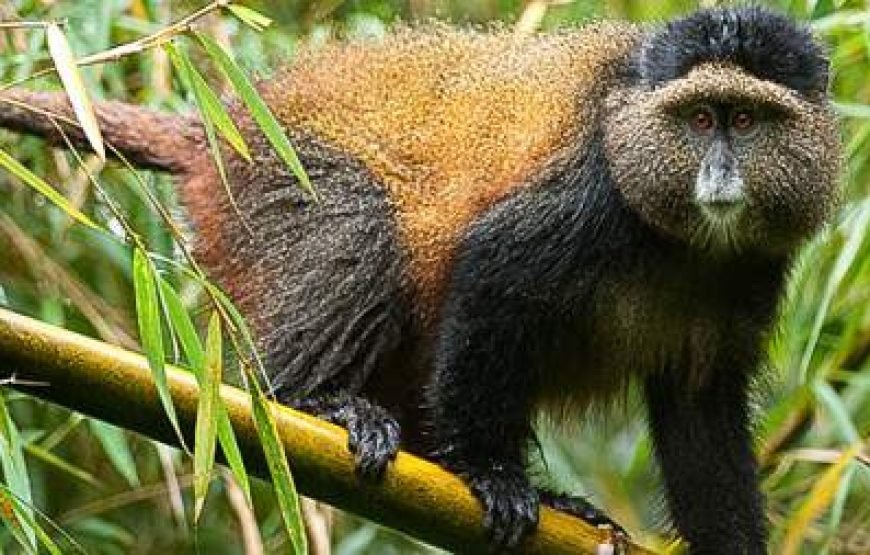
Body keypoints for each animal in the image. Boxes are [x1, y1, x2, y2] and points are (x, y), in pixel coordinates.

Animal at [0, 6, 841, 553]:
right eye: (700, 119)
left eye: (746, 120)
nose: (720, 175)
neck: (684, 238)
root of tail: (221, 128)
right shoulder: (588, 198)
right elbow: (494, 272)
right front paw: (490, 475)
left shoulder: (754, 271)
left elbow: (701, 409)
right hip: (278, 183)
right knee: (357, 231)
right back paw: (318, 402)